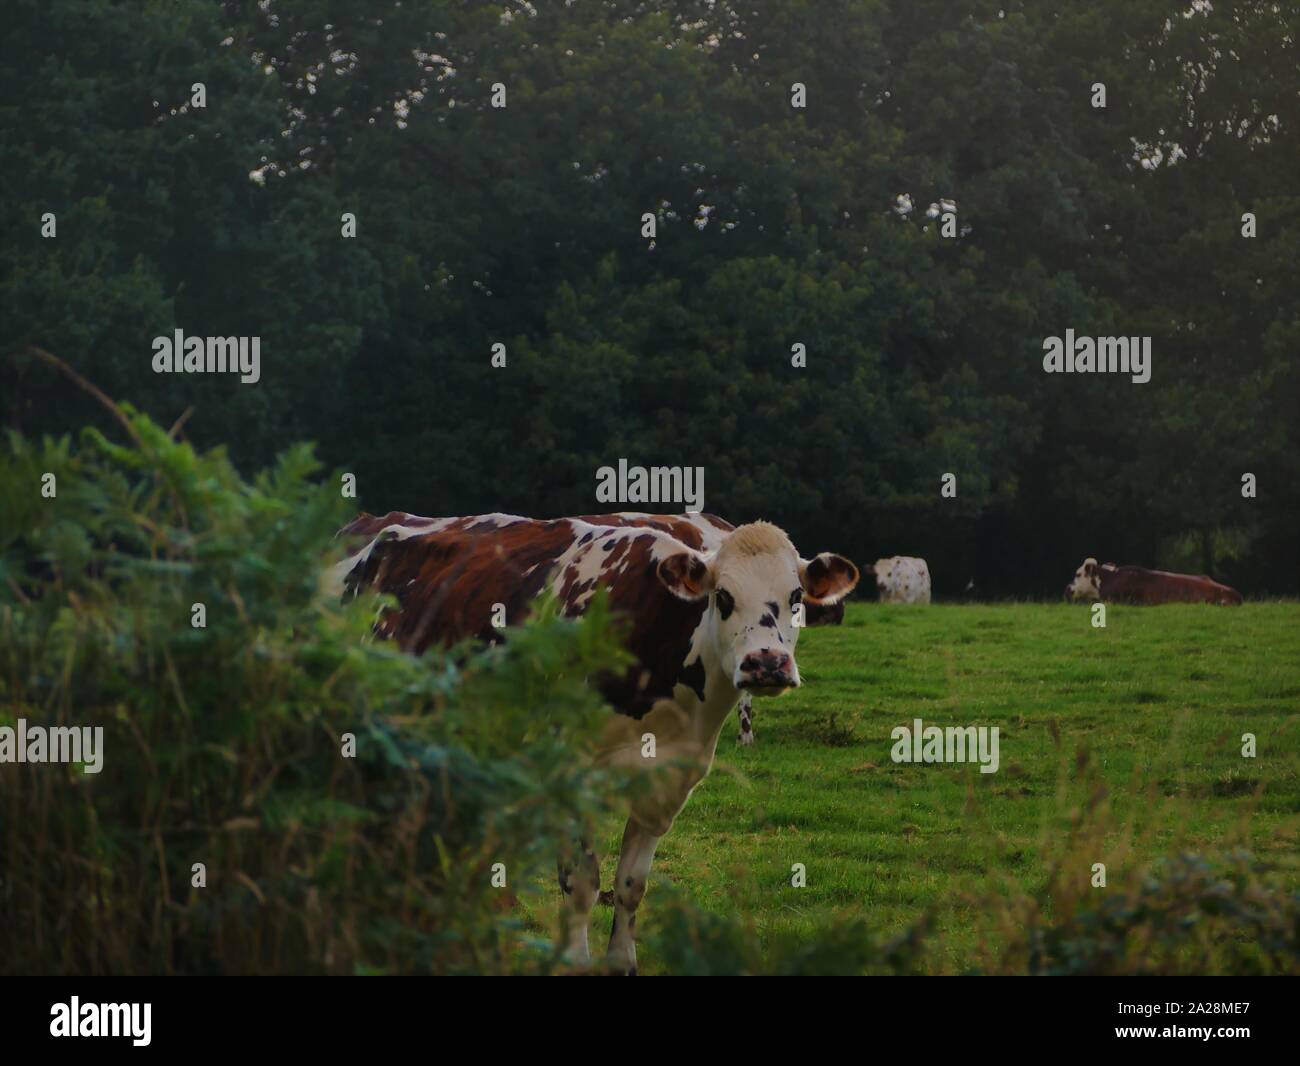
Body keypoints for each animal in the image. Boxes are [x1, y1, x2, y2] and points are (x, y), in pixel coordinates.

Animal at [330, 512, 857, 972]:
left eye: (795, 597)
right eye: (723, 596)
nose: (766, 663)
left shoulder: (667, 782)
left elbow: (631, 885)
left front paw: (622, 961)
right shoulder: (568, 768)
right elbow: (582, 882)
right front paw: (575, 962)